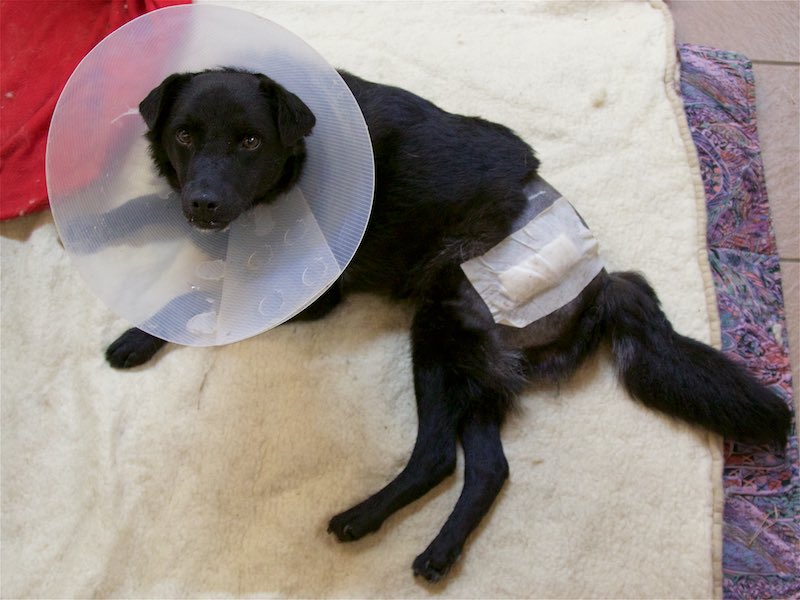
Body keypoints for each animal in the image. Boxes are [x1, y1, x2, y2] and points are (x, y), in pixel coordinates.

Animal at [105, 68, 791, 583]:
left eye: (250, 142)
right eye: (185, 135)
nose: (204, 204)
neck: (298, 161)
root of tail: (603, 285)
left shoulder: (310, 292)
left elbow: (203, 293)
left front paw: (139, 335)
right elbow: (160, 221)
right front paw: (111, 219)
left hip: (437, 328)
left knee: (437, 456)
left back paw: (362, 518)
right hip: (475, 363)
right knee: (489, 467)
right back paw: (439, 553)